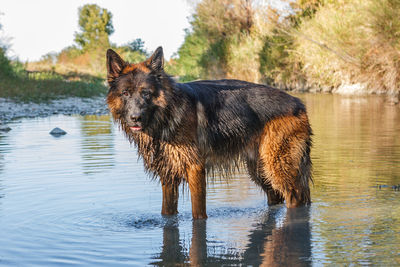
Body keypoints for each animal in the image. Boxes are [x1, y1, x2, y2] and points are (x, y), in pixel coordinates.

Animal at [104, 47, 310, 220]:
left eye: (146, 93)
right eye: (125, 93)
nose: (135, 118)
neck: (167, 114)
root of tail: (298, 103)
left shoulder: (195, 168)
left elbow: (198, 213)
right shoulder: (168, 175)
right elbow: (167, 212)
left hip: (277, 166)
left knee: (295, 197)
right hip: (260, 169)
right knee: (276, 196)